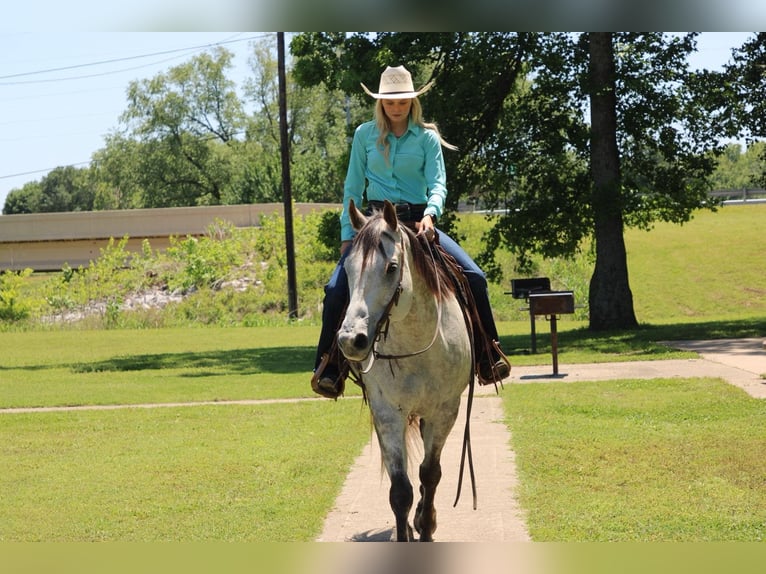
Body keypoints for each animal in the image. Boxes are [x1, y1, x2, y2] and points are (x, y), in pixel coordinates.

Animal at [337, 199, 475, 542]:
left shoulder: (445, 410)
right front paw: (407, 532)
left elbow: (431, 473)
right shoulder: (387, 412)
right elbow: (400, 489)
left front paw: (425, 526)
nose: (351, 340)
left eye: (391, 267)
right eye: (347, 269)